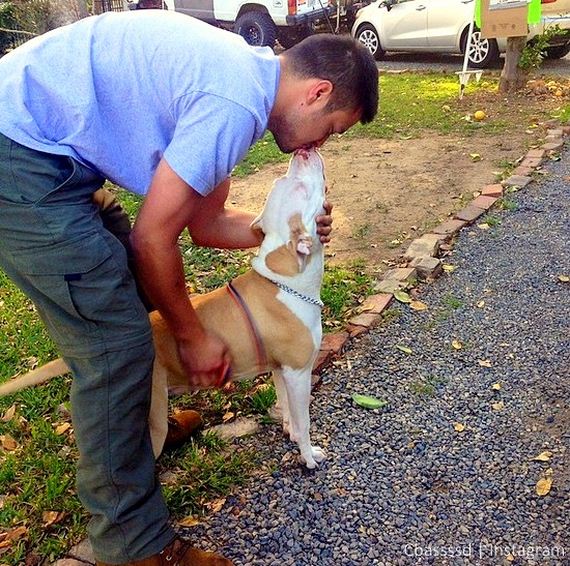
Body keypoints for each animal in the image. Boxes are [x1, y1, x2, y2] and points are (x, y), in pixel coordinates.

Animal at [0, 148, 326, 470]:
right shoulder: (298, 372)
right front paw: (309, 456)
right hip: (151, 415)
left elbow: (288, 412)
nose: (303, 152)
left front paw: (290, 433)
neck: (284, 277)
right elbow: (305, 421)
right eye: (300, 189)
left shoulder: (280, 369)